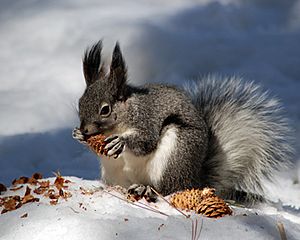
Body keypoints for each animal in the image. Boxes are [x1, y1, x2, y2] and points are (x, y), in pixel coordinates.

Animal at [71, 40, 292, 203]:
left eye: (105, 109)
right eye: (80, 103)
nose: (85, 129)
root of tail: (195, 180)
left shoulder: (146, 119)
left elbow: (146, 141)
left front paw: (121, 142)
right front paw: (78, 135)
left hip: (175, 155)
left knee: (168, 189)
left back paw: (146, 189)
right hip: (113, 172)